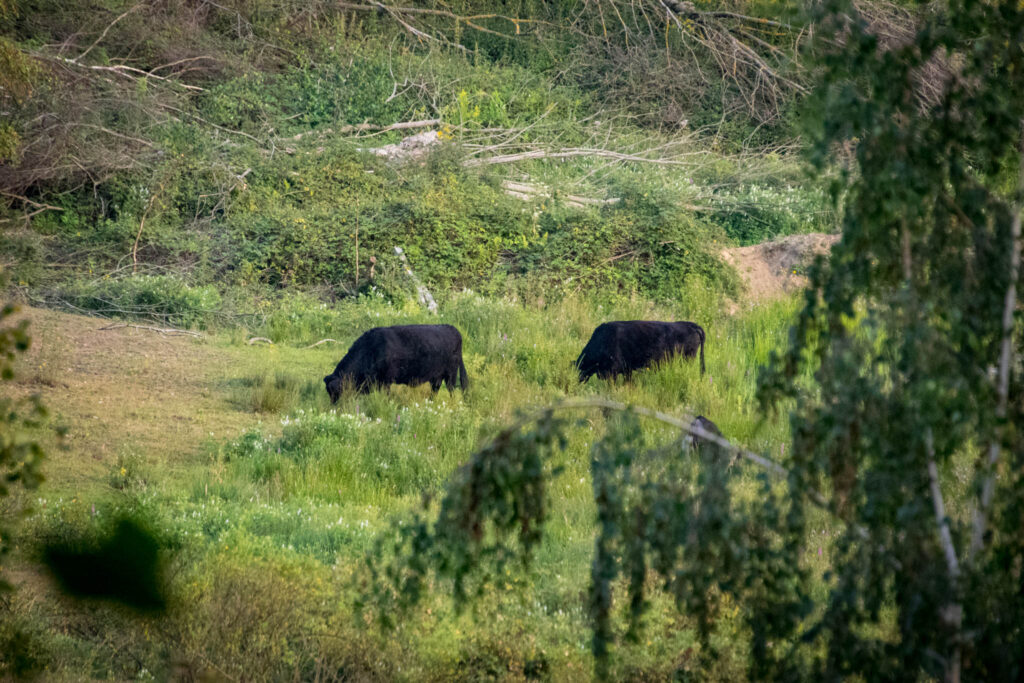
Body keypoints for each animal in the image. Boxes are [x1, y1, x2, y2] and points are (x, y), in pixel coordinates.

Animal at [321, 325, 468, 403]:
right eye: (328, 391)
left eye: (336, 391)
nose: (334, 405)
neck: (372, 349)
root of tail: (453, 329)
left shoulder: (386, 381)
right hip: (436, 377)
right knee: (435, 389)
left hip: (450, 375)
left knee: (451, 390)